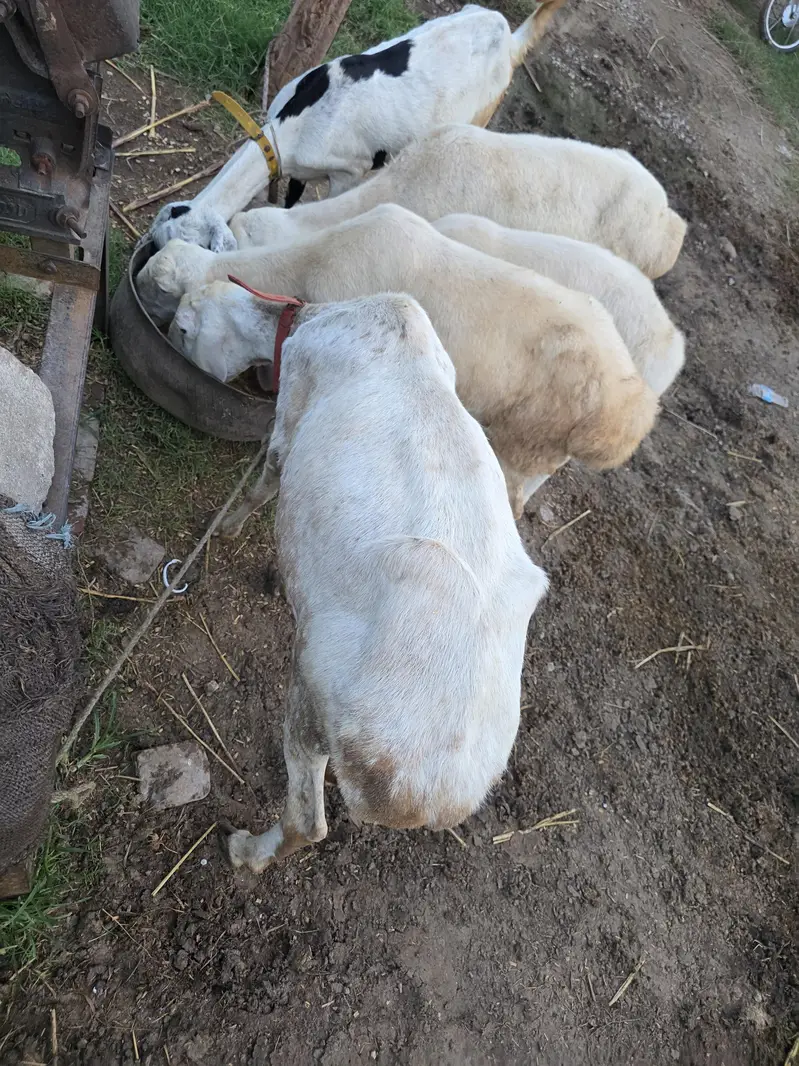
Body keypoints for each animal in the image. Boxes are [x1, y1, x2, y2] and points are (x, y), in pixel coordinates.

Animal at [146, 203, 659, 518]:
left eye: (184, 328)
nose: (155, 328)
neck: (310, 262)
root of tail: (628, 413)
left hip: (526, 446)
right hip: (543, 457)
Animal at [149, 1, 567, 251]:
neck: (296, 124)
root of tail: (509, 39)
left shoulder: (348, 170)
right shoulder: (298, 165)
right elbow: (291, 195)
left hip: (481, 113)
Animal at [216, 292, 548, 871]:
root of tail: (427, 793)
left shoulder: (292, 402)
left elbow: (268, 476)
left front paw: (225, 529)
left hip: (315, 691)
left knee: (308, 818)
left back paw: (246, 852)